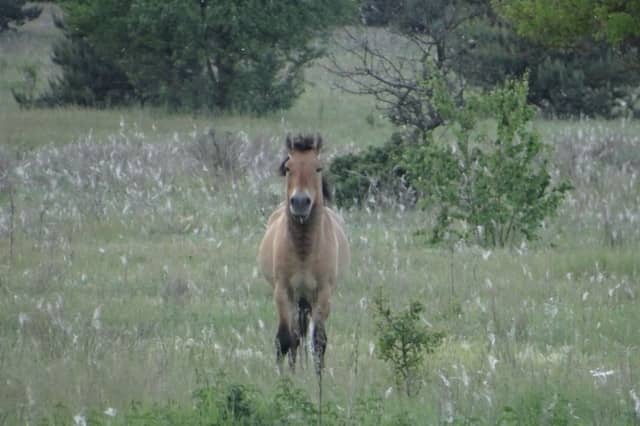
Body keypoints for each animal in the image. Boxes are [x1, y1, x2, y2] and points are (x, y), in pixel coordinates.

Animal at [258, 134, 350, 374]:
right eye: (288, 168)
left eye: (318, 168)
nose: (300, 202)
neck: (303, 251)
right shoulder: (283, 292)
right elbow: (284, 340)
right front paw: (284, 379)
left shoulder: (322, 294)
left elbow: (318, 342)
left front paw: (317, 381)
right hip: (297, 300)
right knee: (295, 338)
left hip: (306, 300)